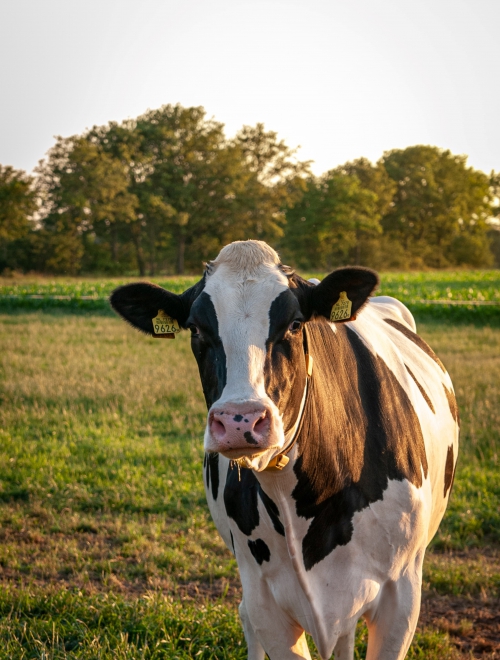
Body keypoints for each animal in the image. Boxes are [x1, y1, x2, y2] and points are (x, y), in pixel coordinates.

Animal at [111, 241, 458, 660]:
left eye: (294, 323)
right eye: (195, 328)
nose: (240, 420)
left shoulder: (401, 594)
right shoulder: (265, 597)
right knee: (246, 616)